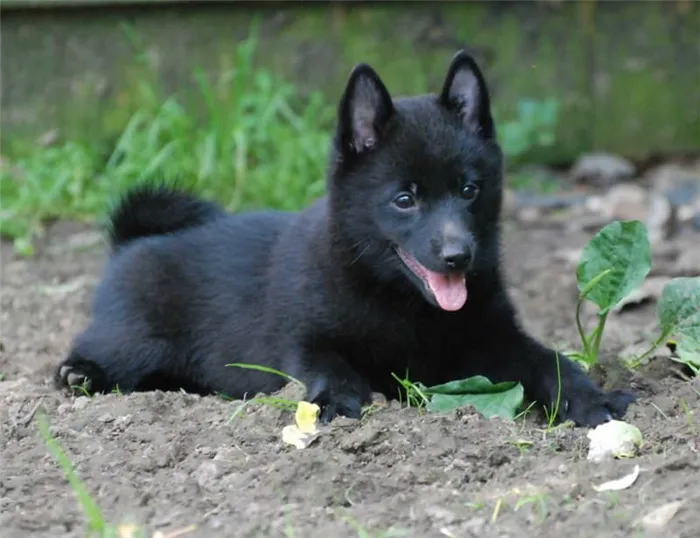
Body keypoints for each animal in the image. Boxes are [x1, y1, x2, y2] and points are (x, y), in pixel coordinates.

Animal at [54, 52, 636, 426]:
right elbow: (330, 366)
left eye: (469, 190)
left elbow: (548, 362)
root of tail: (131, 242)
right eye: (404, 199)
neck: (400, 302)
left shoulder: (494, 339)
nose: (457, 256)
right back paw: (79, 375)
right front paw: (340, 402)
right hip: (136, 340)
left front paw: (591, 399)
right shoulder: (301, 338)